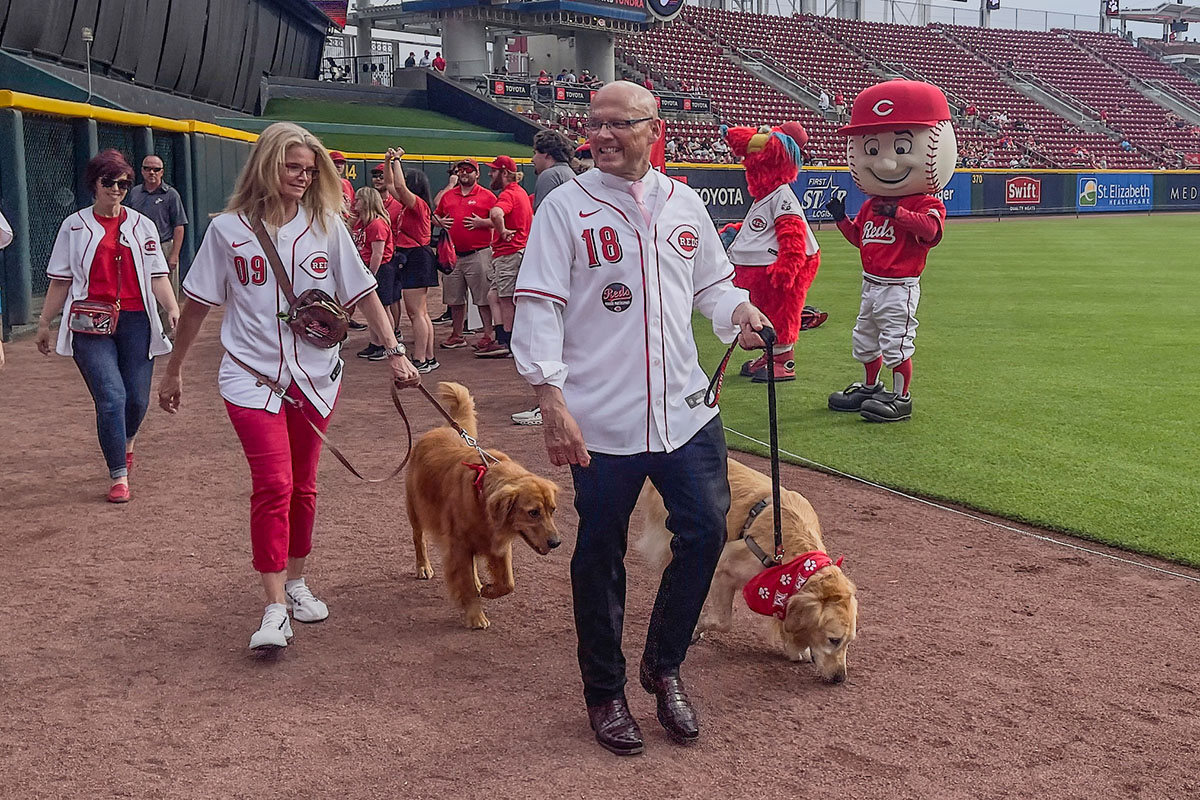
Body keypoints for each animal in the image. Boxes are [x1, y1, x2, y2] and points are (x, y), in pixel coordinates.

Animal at [408, 383, 561, 633]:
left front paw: (488, 589)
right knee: (418, 539)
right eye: (533, 512)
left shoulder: (498, 544)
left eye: (552, 510)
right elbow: (467, 586)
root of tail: (443, 428)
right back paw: (423, 567)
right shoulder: (459, 546)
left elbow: (508, 583)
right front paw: (475, 616)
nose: (556, 543)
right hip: (415, 510)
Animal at [638, 455, 854, 681]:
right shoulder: (723, 570)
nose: (840, 678)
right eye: (834, 640)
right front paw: (697, 629)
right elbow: (723, 621)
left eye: (849, 642)